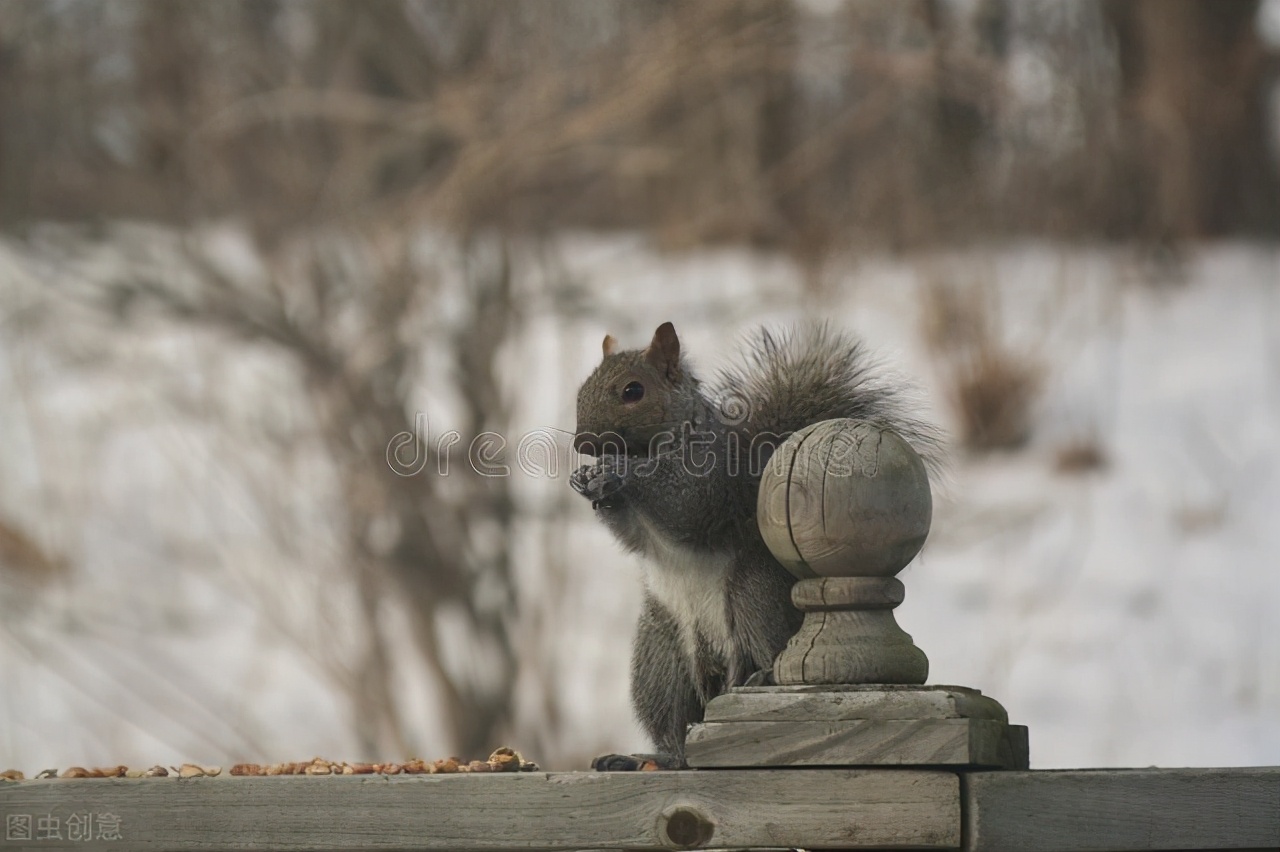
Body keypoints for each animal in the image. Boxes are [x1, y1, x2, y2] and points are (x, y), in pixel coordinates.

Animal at [570, 319, 942, 767]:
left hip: (753, 593)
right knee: (676, 729)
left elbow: (685, 505)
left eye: (633, 391)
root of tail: (718, 667)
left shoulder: (711, 477)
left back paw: (762, 675)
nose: (582, 444)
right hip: (659, 655)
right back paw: (650, 758)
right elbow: (631, 533)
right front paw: (586, 480)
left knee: (767, 651)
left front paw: (617, 470)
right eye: (582, 388)